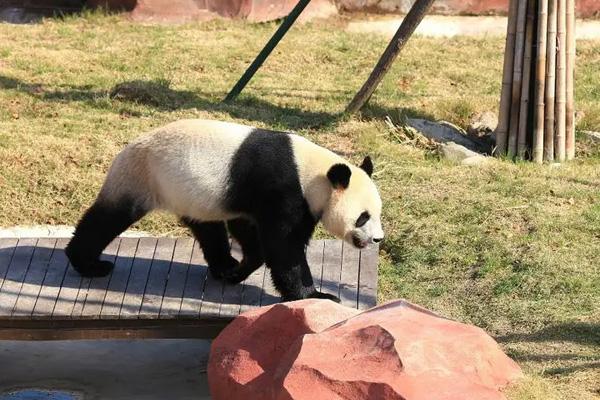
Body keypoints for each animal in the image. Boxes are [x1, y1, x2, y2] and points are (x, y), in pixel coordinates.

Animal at [65, 118, 384, 300]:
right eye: (363, 217)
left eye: (378, 214)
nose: (378, 238)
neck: (313, 172)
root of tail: (128, 147)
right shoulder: (282, 189)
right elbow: (284, 247)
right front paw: (316, 295)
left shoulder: (249, 199)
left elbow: (252, 234)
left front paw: (238, 272)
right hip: (144, 175)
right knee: (110, 217)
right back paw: (89, 263)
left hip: (190, 193)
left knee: (207, 228)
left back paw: (224, 266)